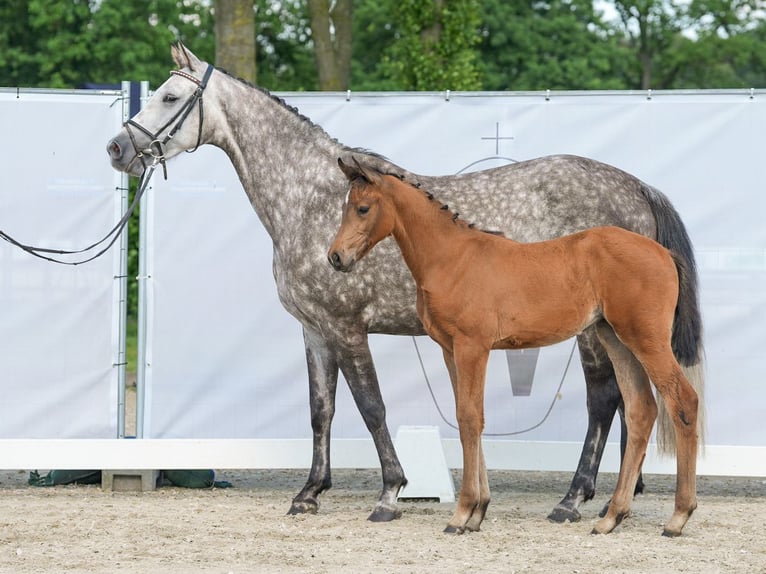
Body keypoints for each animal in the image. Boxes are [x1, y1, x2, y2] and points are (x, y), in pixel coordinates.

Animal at [108, 41, 708, 528]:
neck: (313, 200)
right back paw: (610, 503)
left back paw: (573, 501)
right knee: (631, 403)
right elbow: (321, 410)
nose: (117, 149)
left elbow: (371, 408)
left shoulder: (348, 327)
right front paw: (309, 493)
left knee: (606, 401)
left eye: (168, 97)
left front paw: (391, 493)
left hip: (595, 332)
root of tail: (635, 186)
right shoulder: (314, 331)